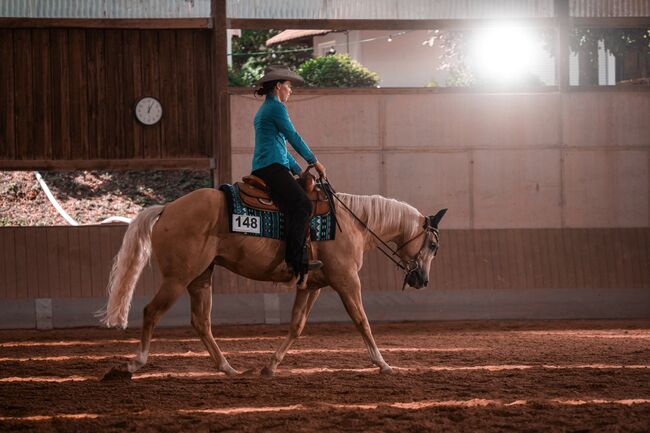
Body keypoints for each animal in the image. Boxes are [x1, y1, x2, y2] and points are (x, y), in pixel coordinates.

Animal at [98, 187, 446, 376]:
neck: (351, 224)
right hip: (177, 277)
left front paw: (271, 366)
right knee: (151, 312)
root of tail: (168, 207)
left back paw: (228, 368)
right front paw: (383, 364)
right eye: (432, 245)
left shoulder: (313, 285)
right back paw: (135, 363)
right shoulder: (346, 281)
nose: (423, 280)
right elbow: (362, 321)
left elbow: (296, 326)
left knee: (201, 322)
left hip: (200, 277)